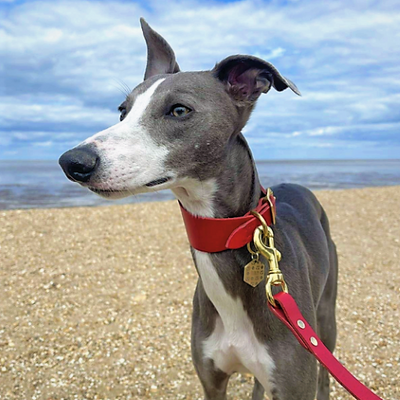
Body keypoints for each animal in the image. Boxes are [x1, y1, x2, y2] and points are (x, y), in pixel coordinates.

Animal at [59, 18, 338, 400]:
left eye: (179, 110)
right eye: (122, 111)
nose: (72, 162)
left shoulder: (294, 383)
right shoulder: (211, 379)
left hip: (325, 321)